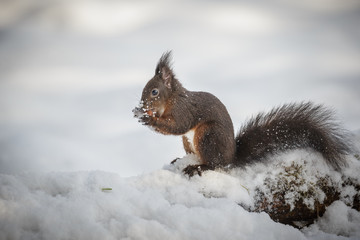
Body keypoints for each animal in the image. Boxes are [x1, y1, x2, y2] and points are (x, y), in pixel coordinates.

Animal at [133, 51, 352, 176]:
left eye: (154, 92)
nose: (141, 105)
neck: (172, 98)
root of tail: (231, 157)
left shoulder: (184, 110)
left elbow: (177, 125)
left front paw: (148, 118)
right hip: (189, 142)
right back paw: (181, 160)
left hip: (208, 136)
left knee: (215, 164)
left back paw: (198, 167)